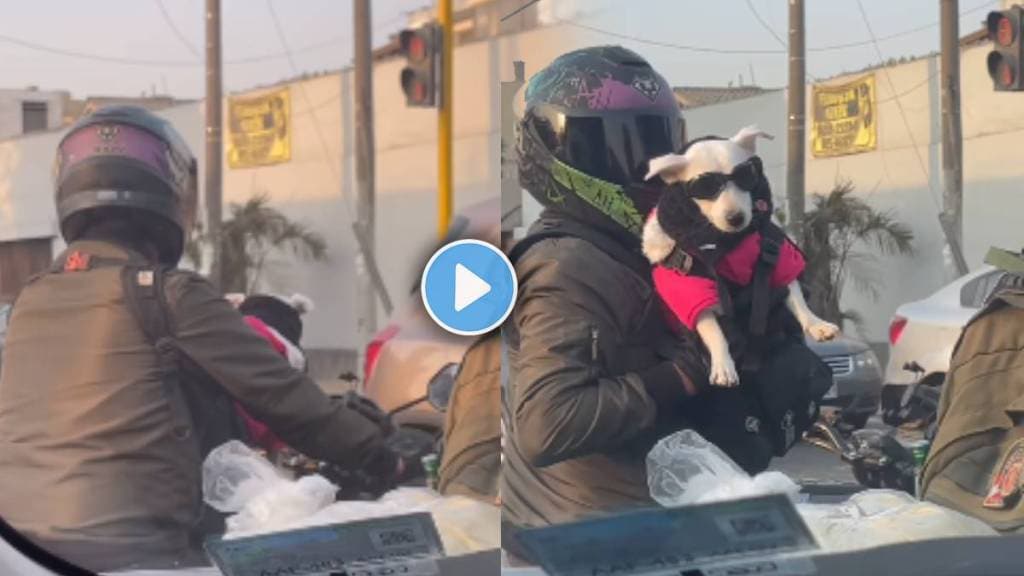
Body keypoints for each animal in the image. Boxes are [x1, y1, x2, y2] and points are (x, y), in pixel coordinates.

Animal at [643, 125, 835, 385]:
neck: (726, 242)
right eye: (706, 188)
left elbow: (795, 295)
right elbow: (713, 329)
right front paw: (723, 365)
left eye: (745, 177)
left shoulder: (777, 255)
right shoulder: (691, 287)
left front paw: (816, 324)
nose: (736, 218)